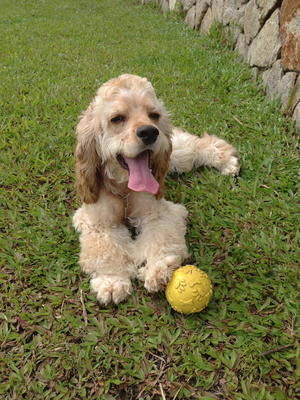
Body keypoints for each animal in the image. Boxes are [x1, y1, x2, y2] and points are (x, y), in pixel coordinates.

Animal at [72, 73, 239, 304]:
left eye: (153, 115)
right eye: (117, 118)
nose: (150, 132)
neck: (124, 188)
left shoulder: (159, 213)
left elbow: (161, 238)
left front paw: (157, 270)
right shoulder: (99, 222)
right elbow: (107, 250)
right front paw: (112, 281)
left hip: (176, 154)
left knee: (201, 143)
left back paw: (226, 160)